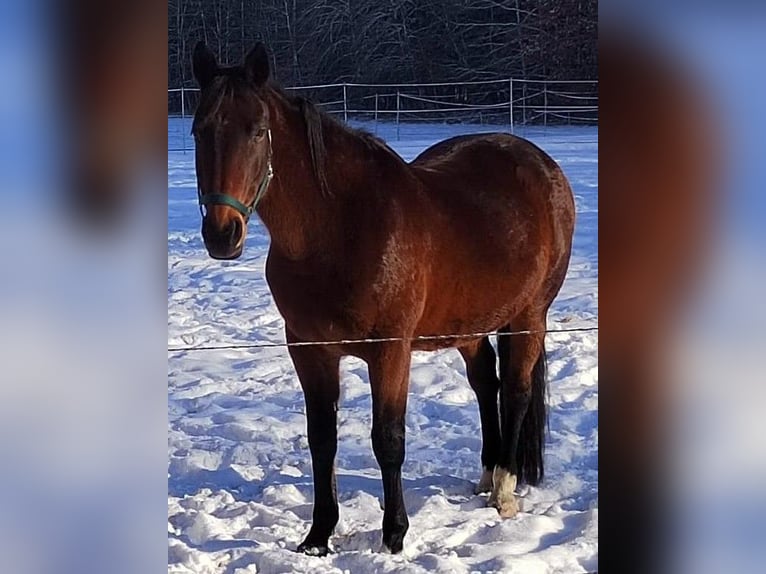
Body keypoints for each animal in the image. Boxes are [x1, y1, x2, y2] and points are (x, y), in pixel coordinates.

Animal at [191, 41, 575, 556]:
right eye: (199, 130)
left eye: (256, 131)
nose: (221, 234)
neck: (340, 228)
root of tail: (542, 165)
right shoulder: (309, 350)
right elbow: (322, 439)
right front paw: (318, 535)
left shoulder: (391, 351)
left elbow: (388, 439)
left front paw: (394, 534)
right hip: (469, 323)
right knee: (485, 384)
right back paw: (486, 475)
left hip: (530, 314)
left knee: (514, 391)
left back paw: (505, 491)